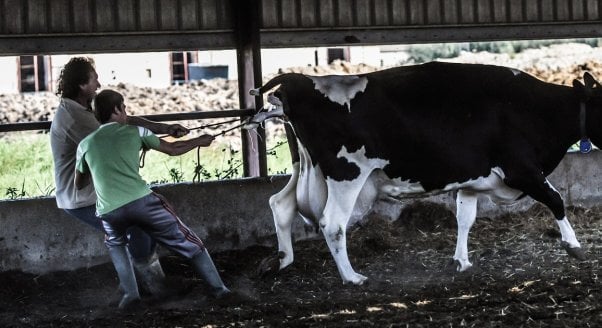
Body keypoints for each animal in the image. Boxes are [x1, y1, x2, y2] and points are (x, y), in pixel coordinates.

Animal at [244, 60, 592, 284]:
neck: (535, 108)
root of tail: (298, 80)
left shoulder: (471, 180)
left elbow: (465, 218)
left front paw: (462, 261)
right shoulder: (521, 169)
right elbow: (555, 199)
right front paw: (574, 247)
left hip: (307, 169)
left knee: (281, 204)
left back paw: (281, 260)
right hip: (347, 175)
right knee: (333, 223)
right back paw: (352, 277)